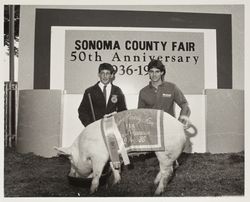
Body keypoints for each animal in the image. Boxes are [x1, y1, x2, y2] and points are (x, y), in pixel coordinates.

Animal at [55, 109, 190, 195]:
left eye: (71, 162)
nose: (71, 174)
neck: (83, 148)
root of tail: (180, 125)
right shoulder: (112, 154)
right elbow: (114, 168)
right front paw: (115, 183)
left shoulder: (99, 157)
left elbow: (97, 173)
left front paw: (91, 191)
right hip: (169, 155)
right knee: (171, 167)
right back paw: (155, 182)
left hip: (165, 153)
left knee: (168, 172)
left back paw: (157, 192)